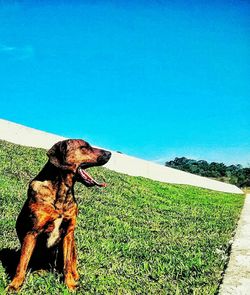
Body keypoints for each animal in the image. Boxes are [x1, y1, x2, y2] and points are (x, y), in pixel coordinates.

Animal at [7, 139, 111, 292]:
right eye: (84, 147)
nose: (110, 153)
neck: (61, 193)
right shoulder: (32, 232)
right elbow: (22, 264)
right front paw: (14, 285)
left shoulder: (68, 233)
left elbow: (67, 264)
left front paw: (70, 284)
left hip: (72, 245)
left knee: (72, 263)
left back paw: (75, 276)